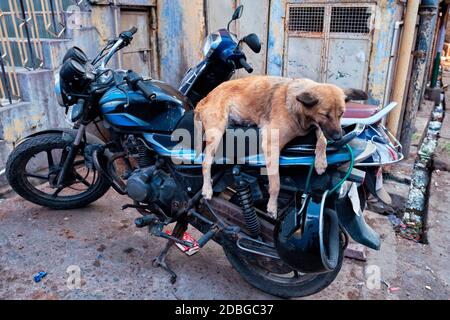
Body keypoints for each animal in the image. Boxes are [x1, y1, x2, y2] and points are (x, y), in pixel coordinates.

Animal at [195, 75, 368, 218]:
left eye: (341, 114)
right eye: (325, 114)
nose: (339, 137)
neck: (298, 109)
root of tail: (205, 97)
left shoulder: (318, 127)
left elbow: (323, 140)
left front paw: (321, 162)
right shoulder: (271, 144)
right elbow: (276, 184)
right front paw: (272, 207)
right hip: (217, 131)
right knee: (205, 163)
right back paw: (207, 189)